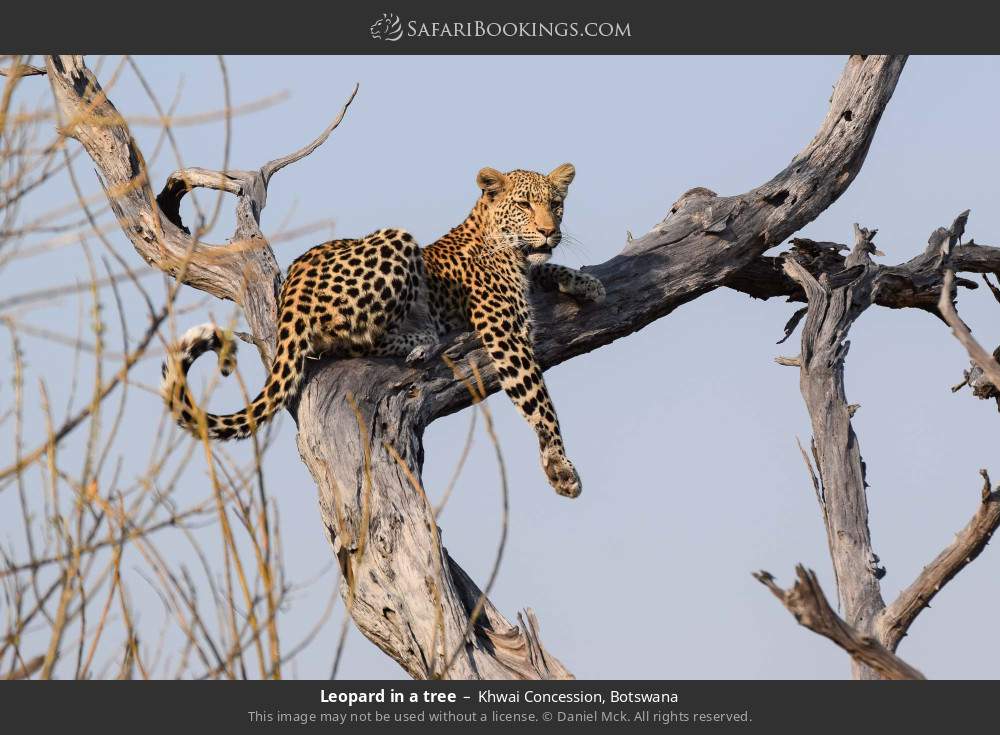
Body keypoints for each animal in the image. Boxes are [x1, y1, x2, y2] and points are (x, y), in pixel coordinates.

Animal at [161, 164, 605, 497]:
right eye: (524, 204)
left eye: (556, 205)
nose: (549, 231)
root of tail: (293, 289)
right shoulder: (504, 332)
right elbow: (537, 398)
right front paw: (559, 466)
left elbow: (545, 267)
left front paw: (587, 282)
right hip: (396, 239)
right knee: (350, 338)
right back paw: (420, 341)